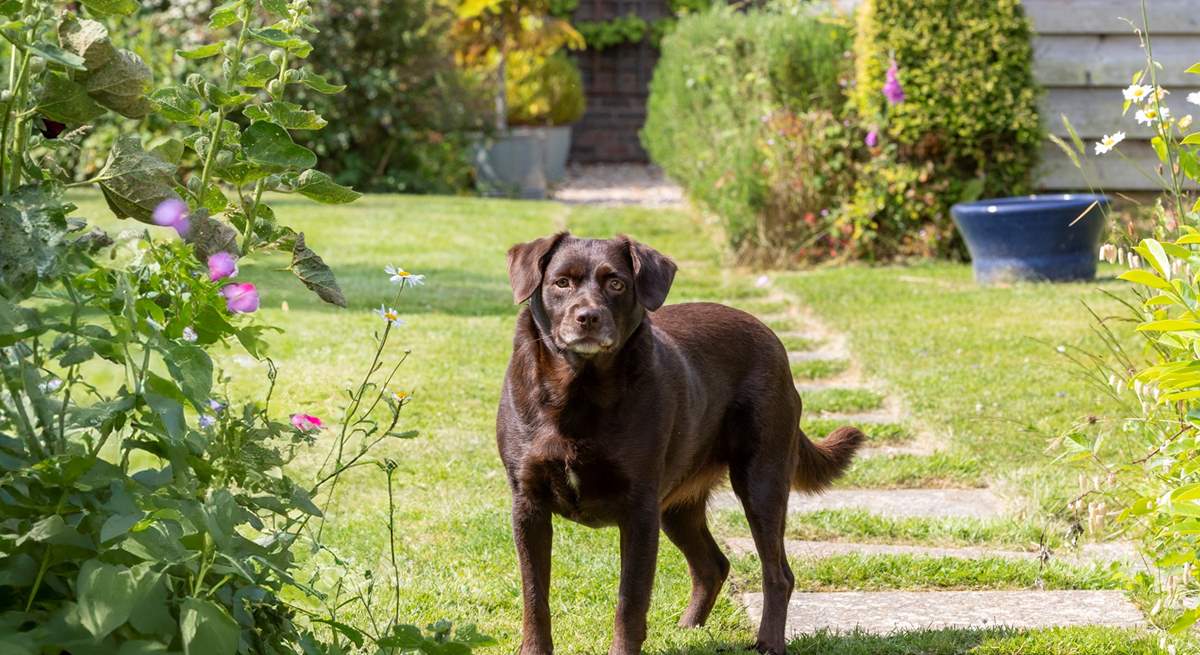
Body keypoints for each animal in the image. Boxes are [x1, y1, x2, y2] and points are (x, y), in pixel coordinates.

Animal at [494, 231, 864, 647]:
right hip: (676, 507)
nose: (587, 317)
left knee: (778, 573)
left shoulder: (639, 511)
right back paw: (687, 630)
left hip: (761, 482)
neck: (578, 389)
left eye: (616, 283)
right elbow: (534, 596)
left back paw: (769, 643)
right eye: (561, 283)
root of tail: (772, 338)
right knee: (713, 565)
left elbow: (630, 602)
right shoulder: (528, 506)